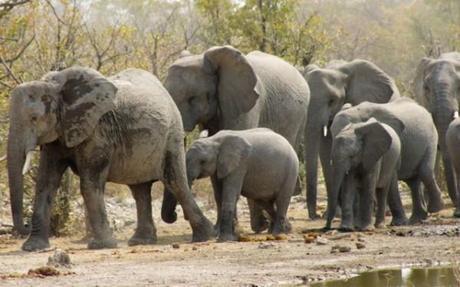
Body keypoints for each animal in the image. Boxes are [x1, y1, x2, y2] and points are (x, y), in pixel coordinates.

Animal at [6, 66, 214, 251]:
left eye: (34, 118)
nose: (24, 226)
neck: (56, 86)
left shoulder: (98, 129)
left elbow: (89, 184)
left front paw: (102, 246)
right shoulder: (59, 132)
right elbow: (46, 183)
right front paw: (33, 248)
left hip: (172, 134)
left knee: (175, 182)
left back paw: (205, 236)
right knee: (140, 190)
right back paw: (141, 241)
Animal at [161, 45, 310, 234]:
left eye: (192, 98)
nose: (174, 216)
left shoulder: (247, 103)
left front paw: (233, 229)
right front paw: (220, 229)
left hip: (300, 118)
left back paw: (266, 227)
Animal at [330, 97, 446, 225]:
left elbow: (391, 177)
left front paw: (399, 223)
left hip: (431, 138)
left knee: (425, 172)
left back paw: (435, 209)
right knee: (412, 182)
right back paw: (416, 219)